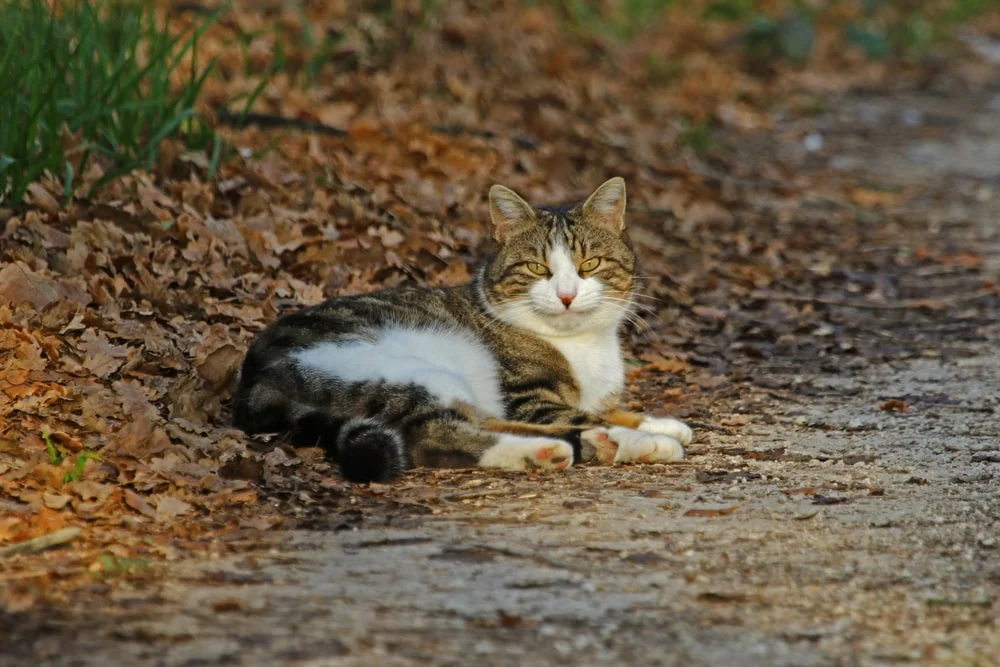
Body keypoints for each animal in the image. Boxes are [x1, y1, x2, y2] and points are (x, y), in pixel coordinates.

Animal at [230, 176, 692, 480]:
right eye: (537, 268)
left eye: (590, 265)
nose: (566, 295)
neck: (580, 344)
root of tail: (252, 381)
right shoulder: (529, 399)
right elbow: (581, 413)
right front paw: (650, 435)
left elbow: (612, 410)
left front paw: (657, 422)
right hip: (402, 370)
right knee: (435, 435)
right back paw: (576, 448)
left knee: (477, 423)